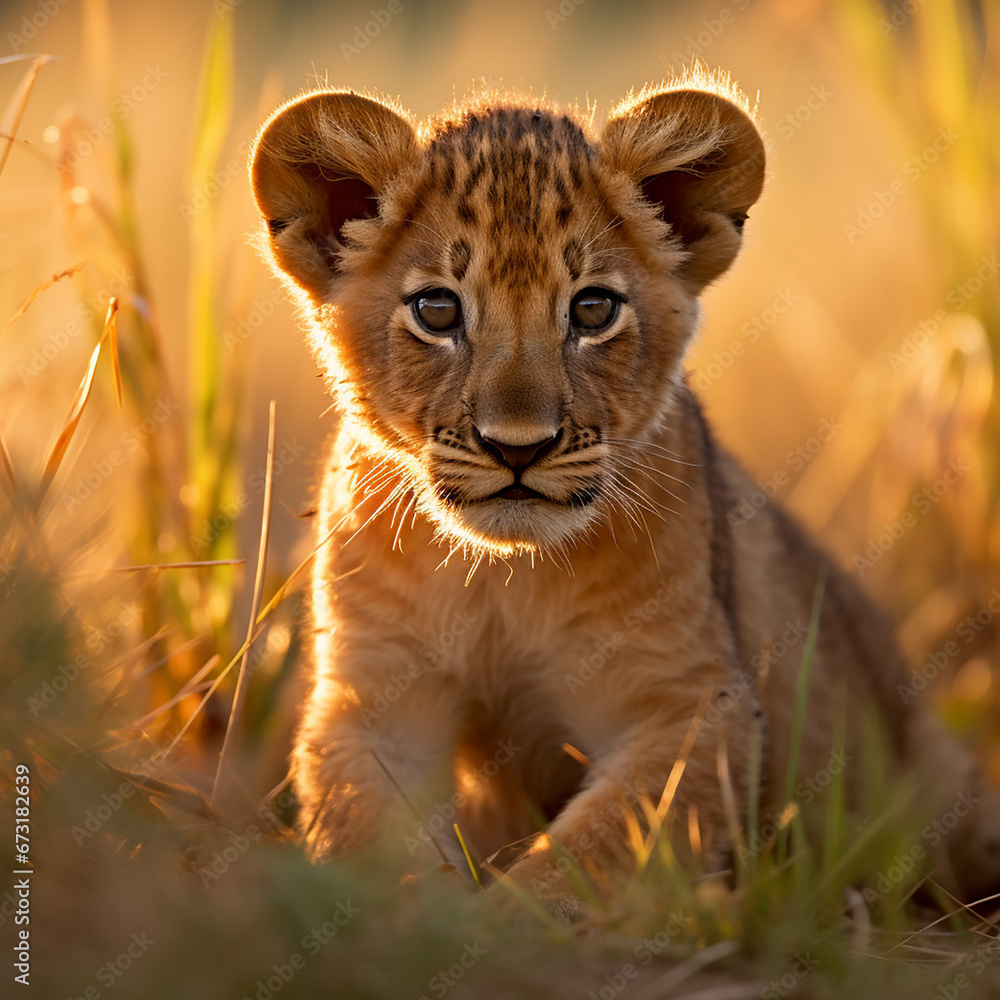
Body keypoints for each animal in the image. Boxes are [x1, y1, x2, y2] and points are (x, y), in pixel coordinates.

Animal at [249, 72, 1000, 919]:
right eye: (437, 309)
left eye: (593, 308)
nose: (518, 446)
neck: (504, 578)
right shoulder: (371, 703)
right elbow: (377, 845)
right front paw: (420, 920)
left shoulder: (697, 706)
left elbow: (588, 854)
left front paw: (500, 925)